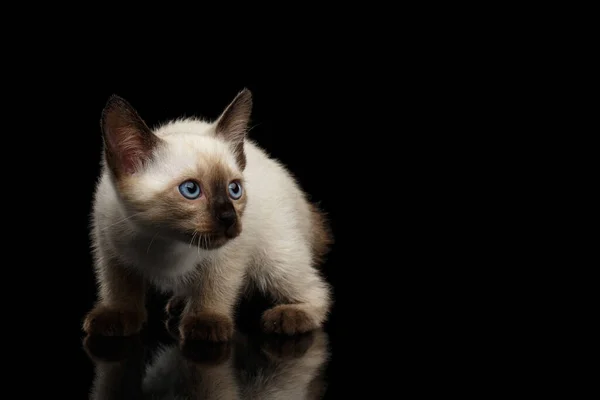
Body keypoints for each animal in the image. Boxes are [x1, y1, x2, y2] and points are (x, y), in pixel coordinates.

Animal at [82, 89, 332, 342]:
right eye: (191, 190)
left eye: (234, 190)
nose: (229, 218)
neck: (163, 240)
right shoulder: (109, 246)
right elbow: (119, 286)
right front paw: (115, 316)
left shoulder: (227, 255)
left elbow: (214, 286)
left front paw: (205, 322)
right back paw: (180, 303)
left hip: (274, 258)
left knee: (317, 291)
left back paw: (291, 315)